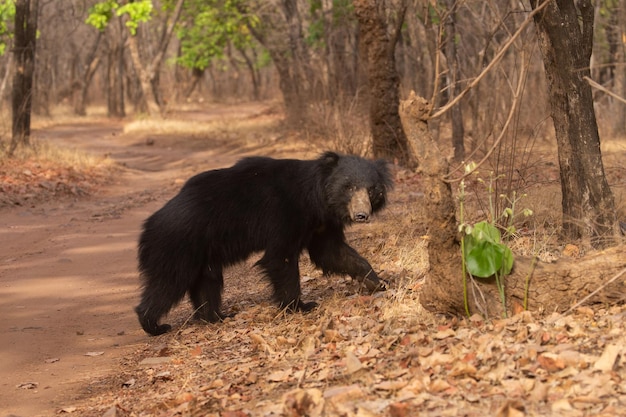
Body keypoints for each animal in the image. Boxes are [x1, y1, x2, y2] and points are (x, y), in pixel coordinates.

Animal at [135, 150, 390, 334]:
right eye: (349, 187)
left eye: (372, 190)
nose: (361, 215)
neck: (316, 199)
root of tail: (149, 224)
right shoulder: (283, 213)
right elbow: (280, 257)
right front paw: (300, 306)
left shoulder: (320, 224)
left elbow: (332, 252)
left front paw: (377, 282)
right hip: (177, 246)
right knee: (168, 283)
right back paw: (154, 325)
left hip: (203, 254)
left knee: (207, 282)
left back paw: (216, 317)